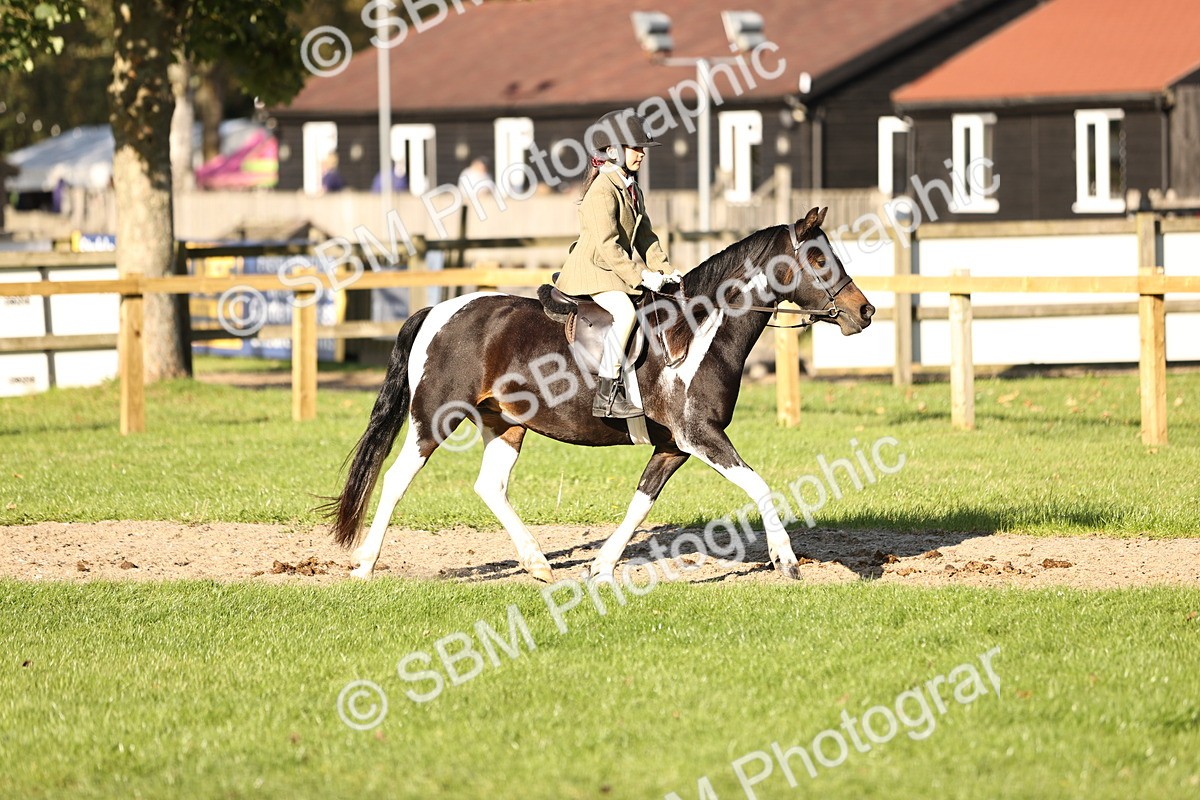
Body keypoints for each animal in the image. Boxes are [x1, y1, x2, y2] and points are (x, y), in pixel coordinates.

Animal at [324, 207, 875, 582]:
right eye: (818, 256)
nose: (864, 312)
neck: (696, 332)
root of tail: (437, 311)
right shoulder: (700, 436)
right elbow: (759, 485)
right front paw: (786, 558)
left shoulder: (673, 446)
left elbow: (641, 504)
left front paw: (603, 567)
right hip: (434, 418)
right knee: (396, 479)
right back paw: (365, 565)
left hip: (505, 423)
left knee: (490, 486)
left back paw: (538, 563)